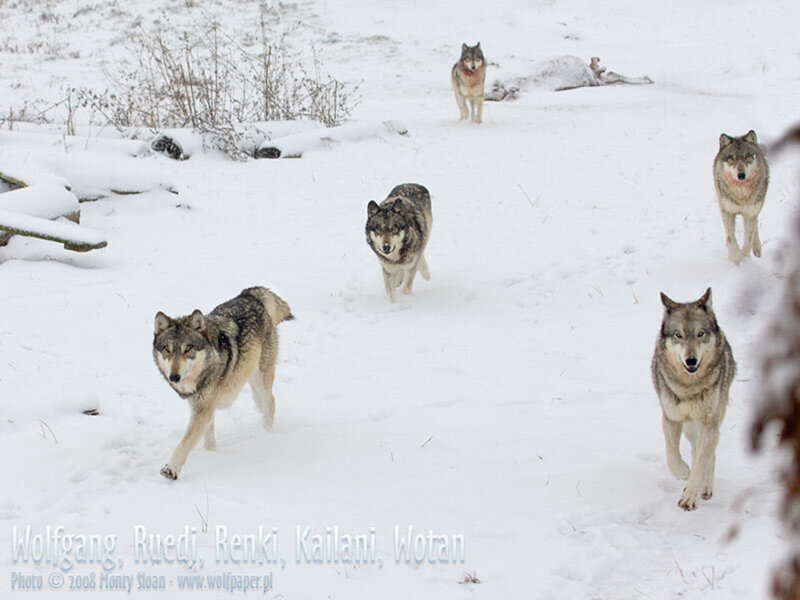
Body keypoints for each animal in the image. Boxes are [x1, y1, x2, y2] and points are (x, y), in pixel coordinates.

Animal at [153, 287, 293, 480]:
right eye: (167, 349)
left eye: (188, 349)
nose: (174, 377)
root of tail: (249, 294)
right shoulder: (204, 406)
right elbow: (208, 438)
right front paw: (212, 454)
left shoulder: (203, 409)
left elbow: (185, 443)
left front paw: (170, 469)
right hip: (249, 375)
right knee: (260, 401)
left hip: (260, 375)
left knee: (270, 401)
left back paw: (266, 434)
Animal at [651, 288, 736, 511]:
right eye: (678, 335)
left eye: (700, 334)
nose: (691, 360)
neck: (689, 386)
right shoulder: (670, 418)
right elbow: (672, 454)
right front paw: (683, 473)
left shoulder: (708, 424)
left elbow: (701, 462)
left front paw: (690, 497)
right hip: (690, 427)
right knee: (695, 448)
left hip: (711, 422)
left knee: (707, 455)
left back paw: (704, 489)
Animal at [713, 130, 769, 264]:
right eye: (731, 158)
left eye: (747, 156)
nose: (741, 175)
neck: (741, 195)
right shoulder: (727, 211)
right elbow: (730, 239)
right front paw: (735, 257)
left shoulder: (749, 213)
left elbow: (747, 241)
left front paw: (743, 258)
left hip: (757, 208)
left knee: (755, 226)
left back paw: (757, 249)